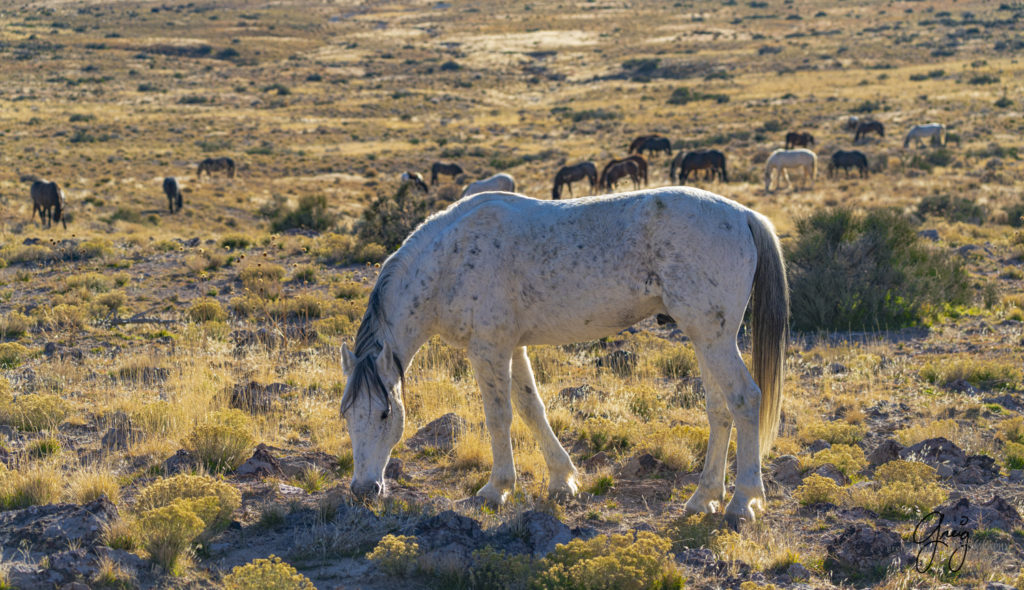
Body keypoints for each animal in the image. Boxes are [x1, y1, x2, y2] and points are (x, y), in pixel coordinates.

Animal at [339, 187, 786, 524]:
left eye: (385, 414)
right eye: (346, 415)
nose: (363, 489)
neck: (450, 260)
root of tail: (745, 216)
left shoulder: (488, 349)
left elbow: (499, 417)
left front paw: (497, 489)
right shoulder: (514, 346)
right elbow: (531, 408)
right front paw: (562, 480)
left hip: (714, 339)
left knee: (745, 400)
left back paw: (742, 503)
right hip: (704, 338)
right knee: (719, 410)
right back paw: (703, 498)